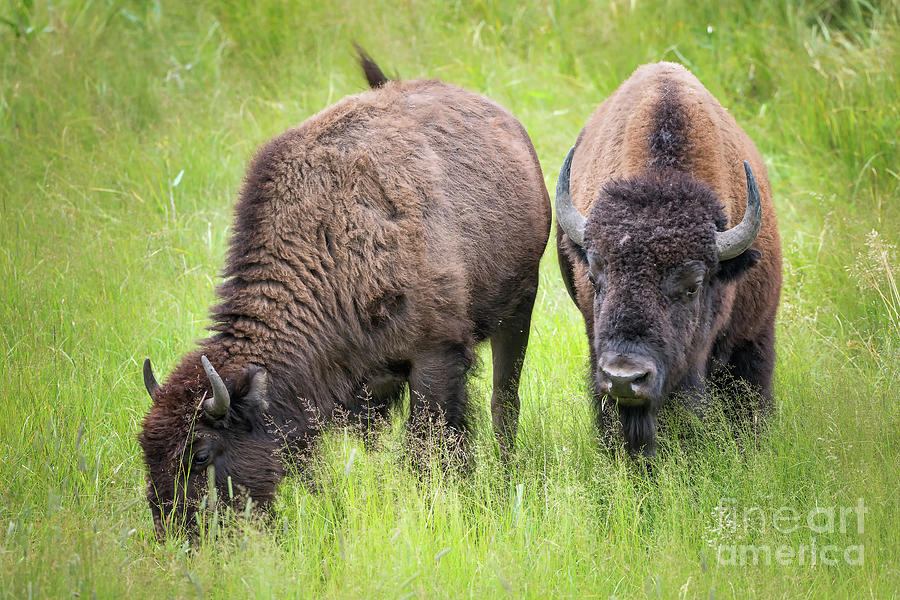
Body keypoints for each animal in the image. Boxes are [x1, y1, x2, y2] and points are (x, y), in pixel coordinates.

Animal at [140, 52, 548, 536]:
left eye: (201, 454)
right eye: (147, 455)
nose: (176, 535)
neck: (327, 243)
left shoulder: (436, 356)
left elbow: (428, 445)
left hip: (518, 310)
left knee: (504, 401)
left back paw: (506, 473)